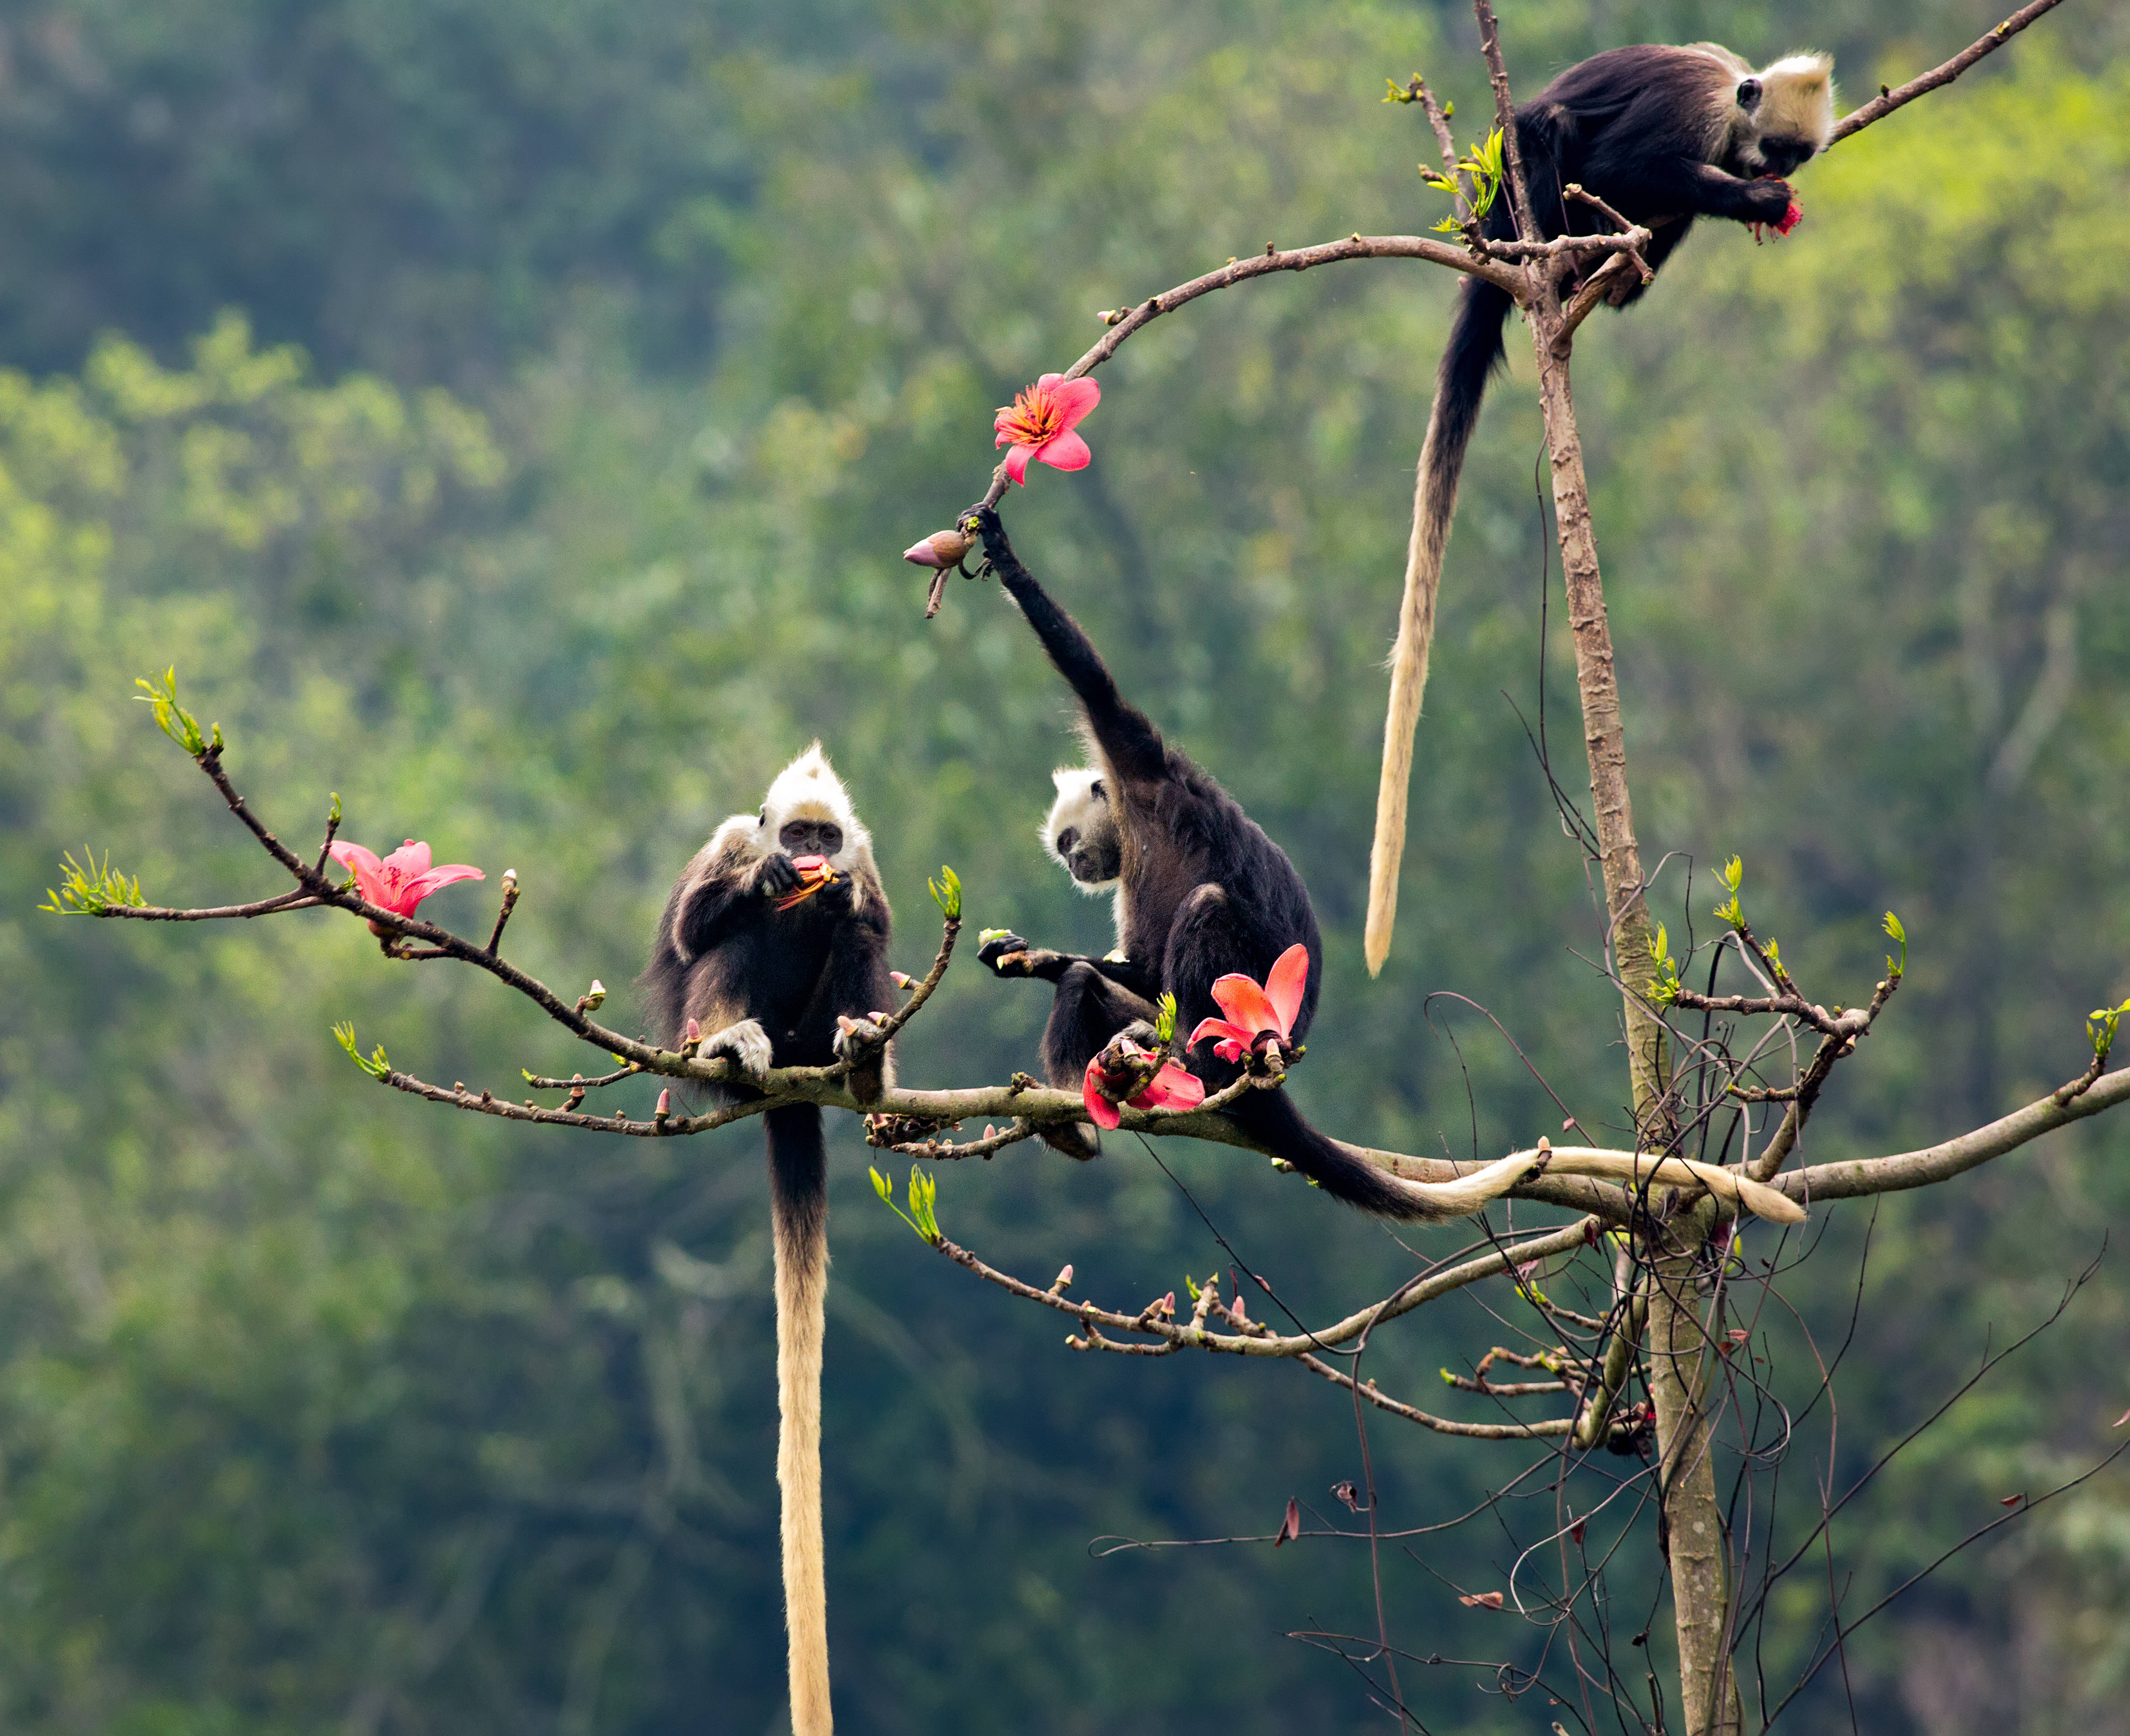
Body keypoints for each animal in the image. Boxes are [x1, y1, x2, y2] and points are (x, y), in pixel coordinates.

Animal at [635, 741, 895, 1736]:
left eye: (827, 835)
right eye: (796, 836)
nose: (810, 857)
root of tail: (794, 1074)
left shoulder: (866, 861)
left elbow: (870, 917)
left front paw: (839, 900)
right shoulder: (726, 844)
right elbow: (693, 930)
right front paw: (768, 885)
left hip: (814, 1033)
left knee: (857, 950)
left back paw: (863, 1054)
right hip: (726, 1039)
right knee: (728, 948)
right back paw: (734, 1042)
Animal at [1371, 41, 1840, 980]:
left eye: (1796, 156)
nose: (1768, 174)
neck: (1732, 106)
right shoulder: (1694, 120)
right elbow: (1633, 162)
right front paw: (1748, 203)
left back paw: (1613, 277)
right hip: (1510, 188)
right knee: (1548, 130)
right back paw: (1556, 263)